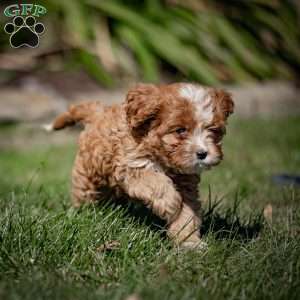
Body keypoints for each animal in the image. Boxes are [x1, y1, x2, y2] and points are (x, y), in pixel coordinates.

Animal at [49, 82, 234, 248]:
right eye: (180, 130)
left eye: (213, 130)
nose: (202, 153)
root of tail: (98, 112)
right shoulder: (130, 165)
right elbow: (156, 182)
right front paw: (170, 203)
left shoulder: (186, 183)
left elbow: (188, 212)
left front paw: (189, 242)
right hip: (88, 176)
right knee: (84, 193)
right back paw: (81, 213)